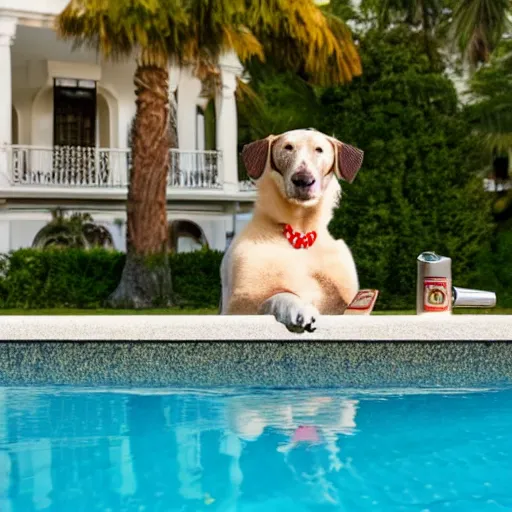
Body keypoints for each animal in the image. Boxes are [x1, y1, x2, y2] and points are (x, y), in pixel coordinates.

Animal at [220, 129, 364, 332]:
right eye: (287, 147)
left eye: (319, 149)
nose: (303, 180)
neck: (299, 234)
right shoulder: (237, 305)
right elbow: (279, 296)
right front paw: (300, 310)